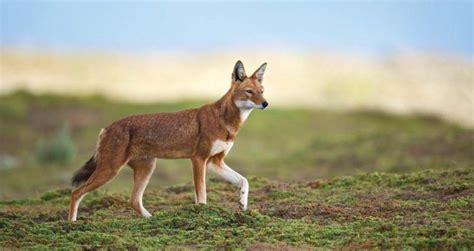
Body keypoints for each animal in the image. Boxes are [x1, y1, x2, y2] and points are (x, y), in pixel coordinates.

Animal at [67, 60, 268, 222]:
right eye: (249, 92)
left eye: (262, 91)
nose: (266, 103)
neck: (226, 123)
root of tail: (105, 128)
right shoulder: (198, 159)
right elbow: (202, 194)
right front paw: (202, 214)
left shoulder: (215, 162)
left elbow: (244, 181)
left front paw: (243, 204)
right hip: (110, 170)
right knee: (75, 193)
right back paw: (72, 224)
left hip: (146, 169)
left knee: (133, 201)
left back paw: (153, 219)